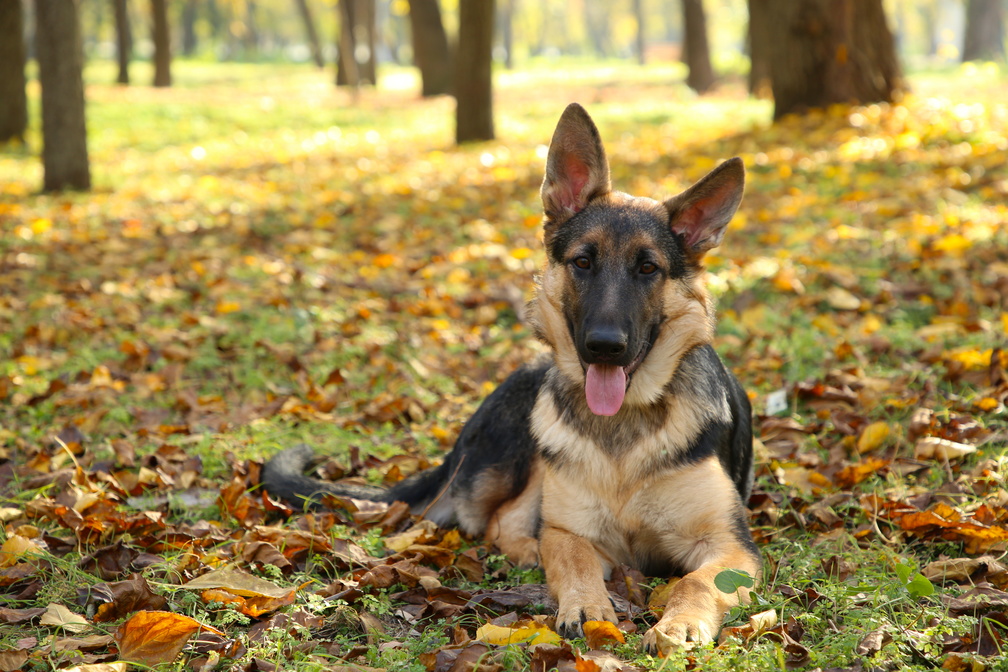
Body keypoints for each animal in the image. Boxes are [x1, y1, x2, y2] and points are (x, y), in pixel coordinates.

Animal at [264, 102, 758, 652]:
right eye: (583, 261)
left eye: (648, 269)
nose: (604, 345)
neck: (622, 428)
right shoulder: (571, 531)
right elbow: (572, 556)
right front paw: (586, 605)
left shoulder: (729, 544)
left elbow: (698, 581)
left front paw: (679, 624)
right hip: (525, 444)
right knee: (497, 521)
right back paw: (527, 551)